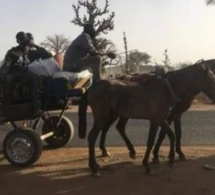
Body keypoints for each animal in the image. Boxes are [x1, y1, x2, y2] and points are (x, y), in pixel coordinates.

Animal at [79, 61, 215, 176]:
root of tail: (93, 87)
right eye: (211, 77)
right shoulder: (157, 119)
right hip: (102, 116)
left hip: (114, 114)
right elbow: (155, 139)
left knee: (111, 129)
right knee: (92, 136)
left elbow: (168, 136)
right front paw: (150, 163)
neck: (167, 89)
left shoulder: (160, 119)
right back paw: (94, 168)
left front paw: (169, 160)